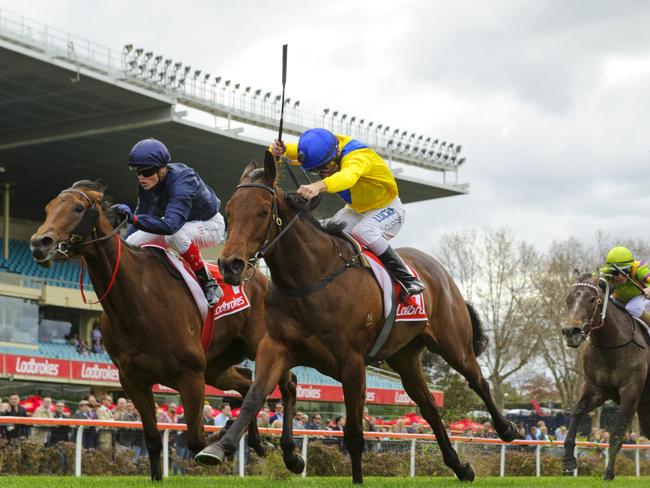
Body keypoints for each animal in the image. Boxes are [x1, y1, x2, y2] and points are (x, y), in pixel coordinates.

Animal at [29, 180, 302, 480]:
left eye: (78, 208)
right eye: (48, 208)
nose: (39, 243)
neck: (138, 299)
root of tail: (260, 276)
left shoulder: (190, 375)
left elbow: (195, 440)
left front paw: (222, 436)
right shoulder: (134, 381)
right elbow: (152, 439)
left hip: (262, 345)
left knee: (287, 384)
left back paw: (291, 454)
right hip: (216, 366)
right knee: (246, 380)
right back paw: (257, 441)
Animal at [192, 153, 516, 484]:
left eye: (262, 211)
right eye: (229, 211)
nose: (230, 265)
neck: (310, 277)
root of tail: (437, 270)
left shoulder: (352, 363)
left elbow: (354, 433)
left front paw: (356, 478)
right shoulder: (276, 348)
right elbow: (254, 396)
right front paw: (219, 448)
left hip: (453, 344)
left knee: (478, 381)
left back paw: (505, 429)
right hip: (405, 358)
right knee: (429, 408)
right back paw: (460, 466)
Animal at [560, 270, 644, 480]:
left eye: (592, 299)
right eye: (568, 299)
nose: (571, 332)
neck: (612, 345)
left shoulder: (631, 392)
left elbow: (617, 434)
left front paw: (608, 474)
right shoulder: (597, 388)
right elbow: (577, 410)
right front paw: (568, 461)